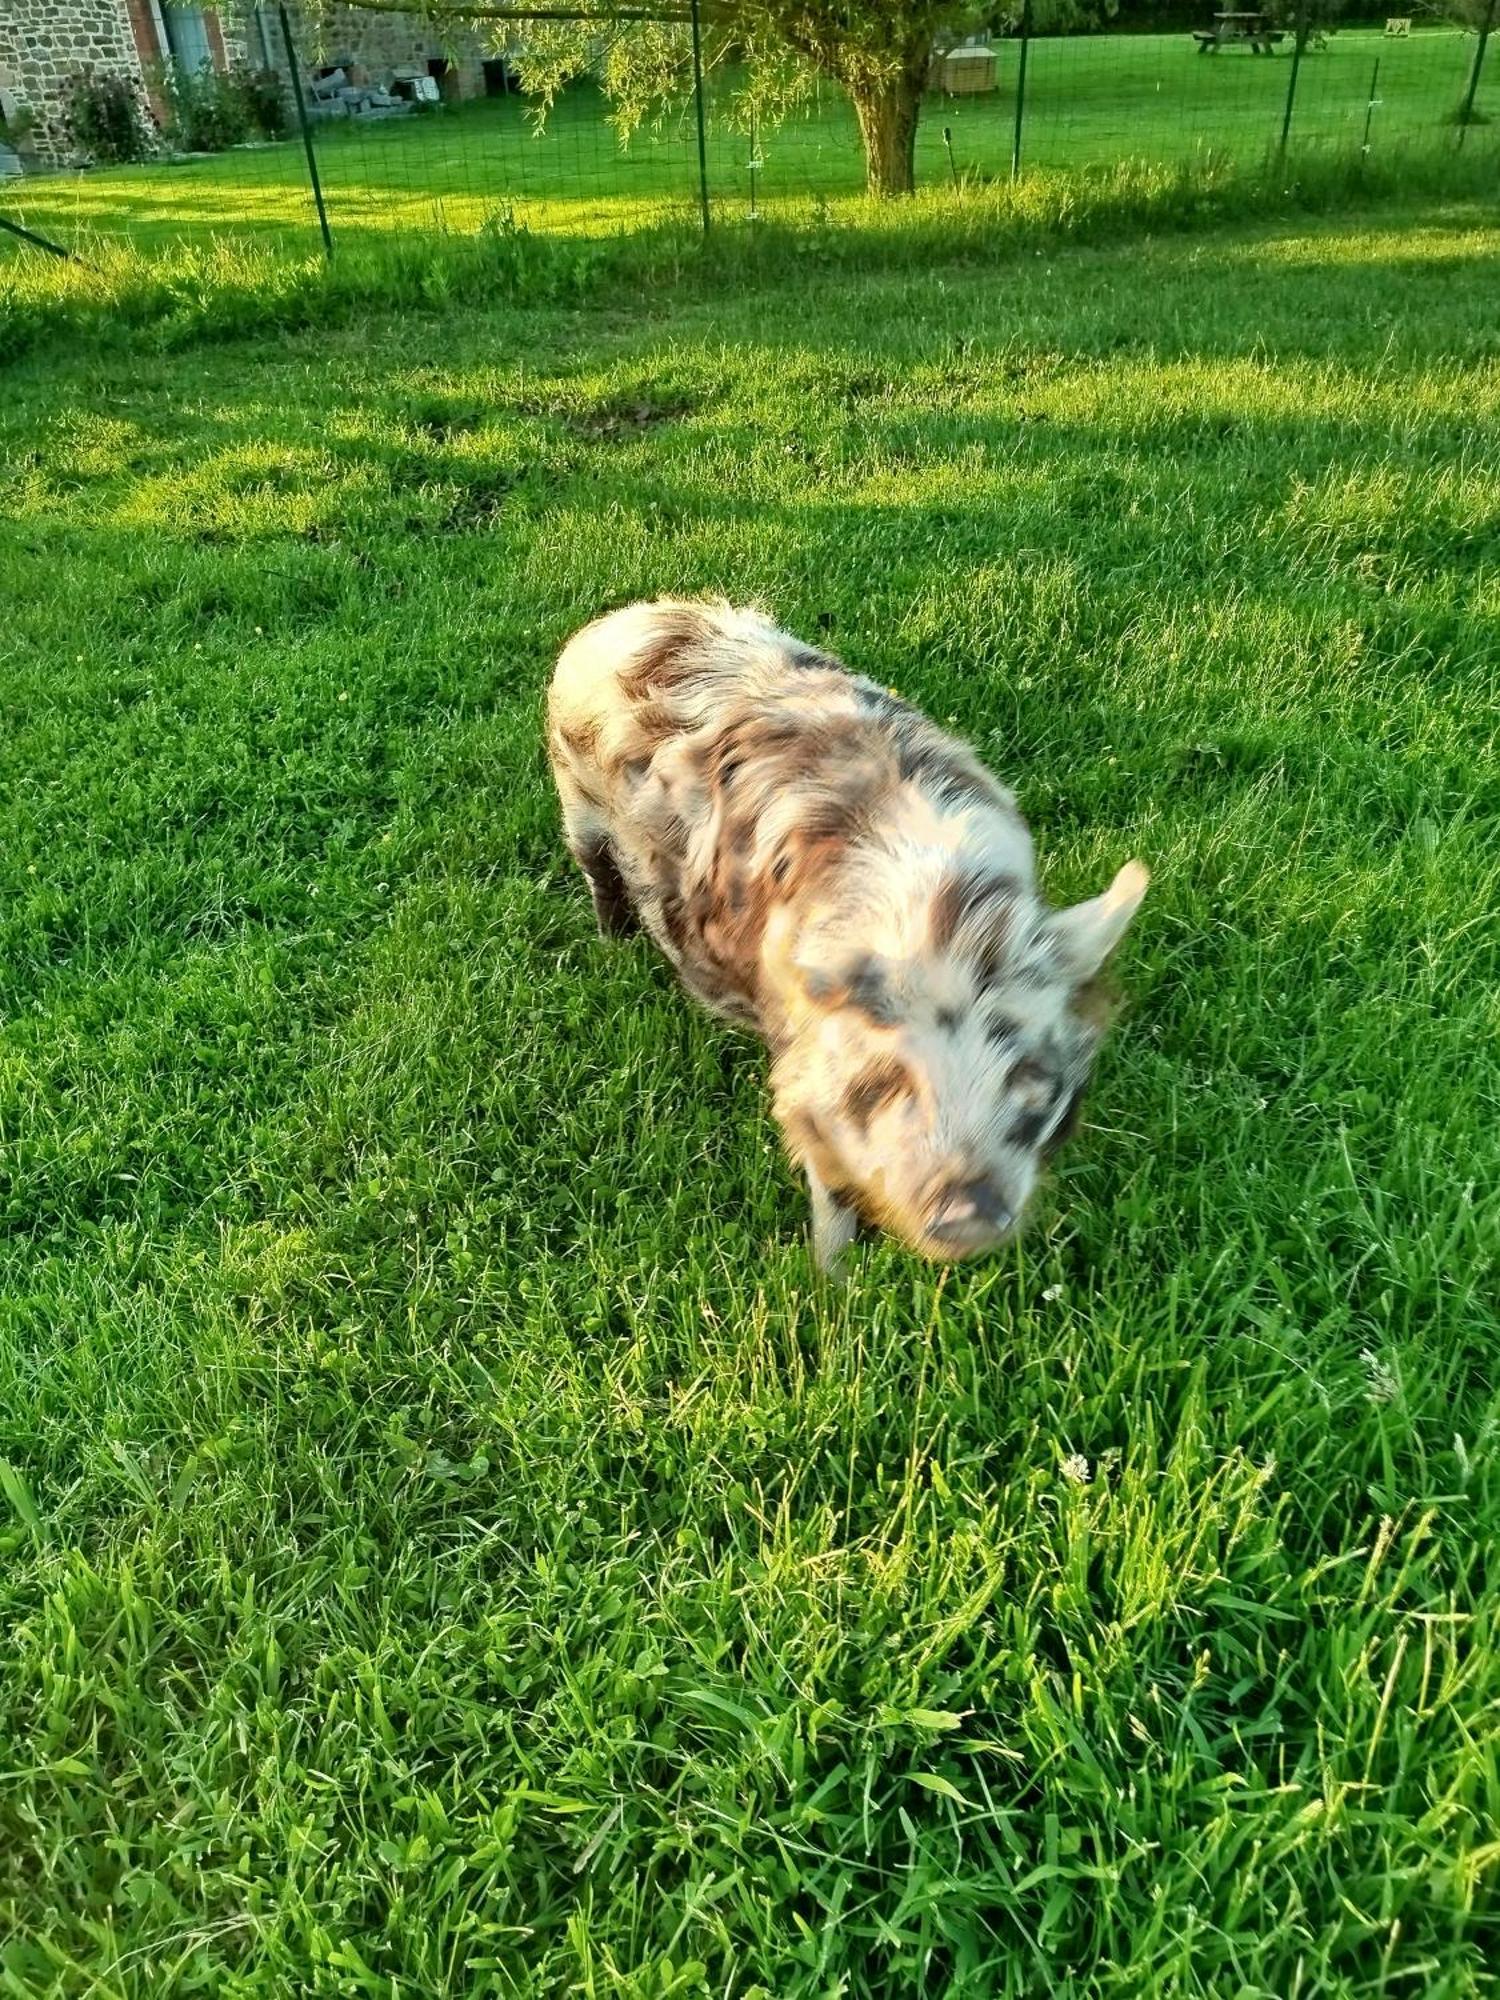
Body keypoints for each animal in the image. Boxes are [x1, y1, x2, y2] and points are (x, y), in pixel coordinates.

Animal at [552, 600, 1152, 1272]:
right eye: (889, 1078)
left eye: (1026, 1069)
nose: (967, 1210)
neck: (943, 925)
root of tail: (630, 616)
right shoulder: (802, 1067)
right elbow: (826, 1179)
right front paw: (830, 1278)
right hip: (574, 798)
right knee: (599, 872)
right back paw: (615, 945)